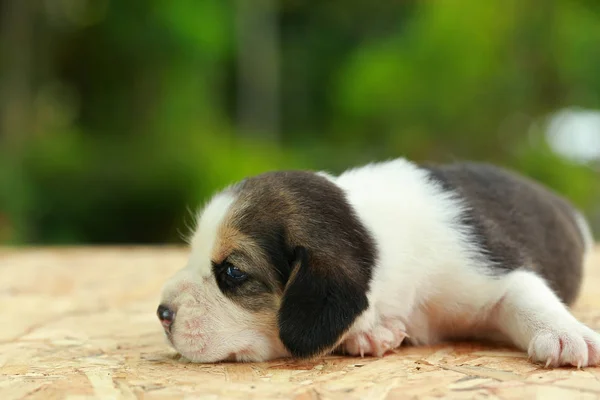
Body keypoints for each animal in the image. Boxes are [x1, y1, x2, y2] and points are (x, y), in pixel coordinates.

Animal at [157, 158, 596, 368]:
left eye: (232, 272)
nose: (162, 313)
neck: (371, 232)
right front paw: (370, 333)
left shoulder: (494, 269)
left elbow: (527, 296)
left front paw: (565, 334)